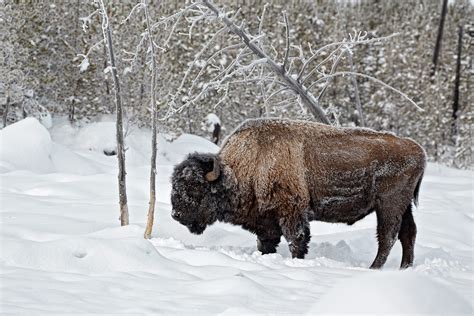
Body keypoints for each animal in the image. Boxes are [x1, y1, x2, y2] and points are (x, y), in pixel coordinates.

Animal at [170, 119, 426, 270]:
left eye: (195, 187)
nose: (176, 215)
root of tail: (418, 150)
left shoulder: (292, 211)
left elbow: (297, 240)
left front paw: (297, 261)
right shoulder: (266, 220)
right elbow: (266, 242)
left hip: (389, 205)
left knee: (388, 236)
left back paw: (374, 268)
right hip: (404, 206)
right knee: (408, 234)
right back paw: (405, 267)